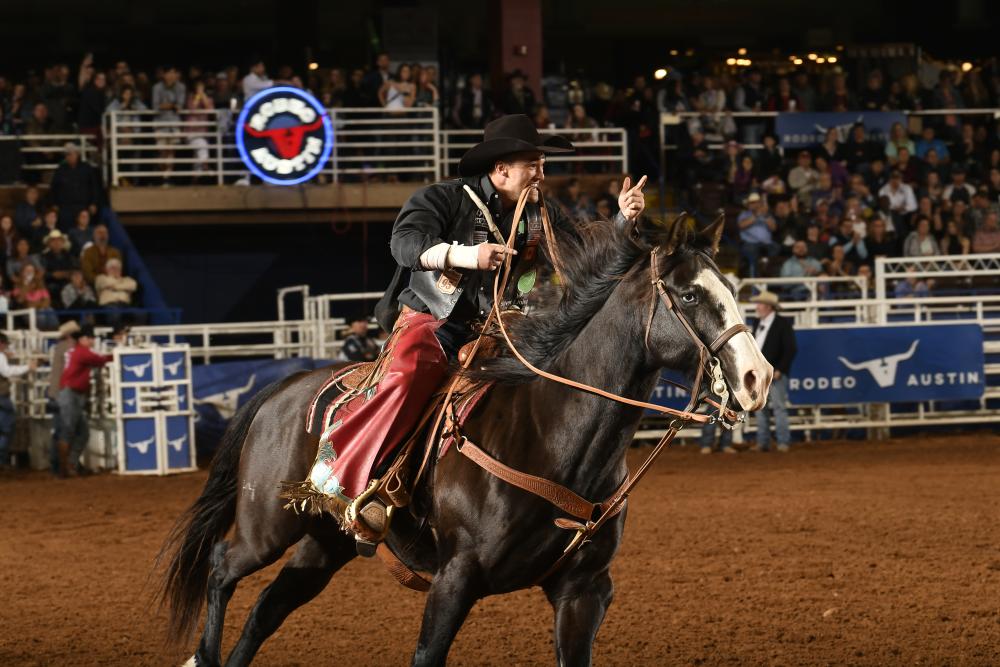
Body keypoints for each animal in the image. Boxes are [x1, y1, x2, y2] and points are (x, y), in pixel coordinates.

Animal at [162, 215, 772, 667]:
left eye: (731, 289)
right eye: (689, 296)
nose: (757, 378)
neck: (551, 432)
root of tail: (282, 389)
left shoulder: (584, 592)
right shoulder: (454, 581)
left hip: (323, 541)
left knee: (267, 609)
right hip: (267, 525)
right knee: (221, 566)